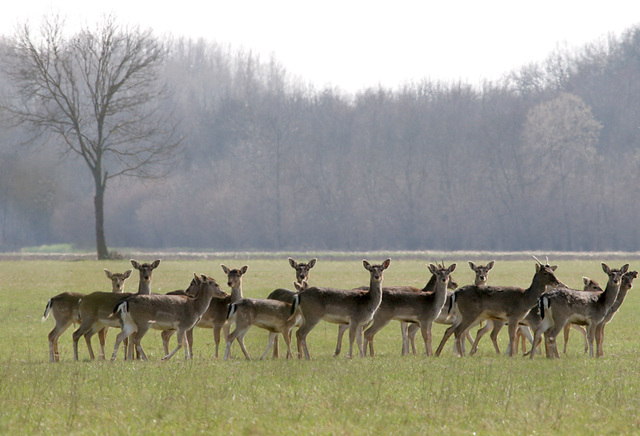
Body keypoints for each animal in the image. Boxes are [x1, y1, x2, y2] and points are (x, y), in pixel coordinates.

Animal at [436, 258, 564, 356]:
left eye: (552, 271)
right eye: (545, 273)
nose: (557, 282)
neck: (526, 299)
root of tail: (455, 293)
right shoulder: (514, 316)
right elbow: (512, 336)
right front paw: (512, 355)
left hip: (461, 315)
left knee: (452, 330)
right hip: (469, 313)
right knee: (458, 331)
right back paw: (461, 355)